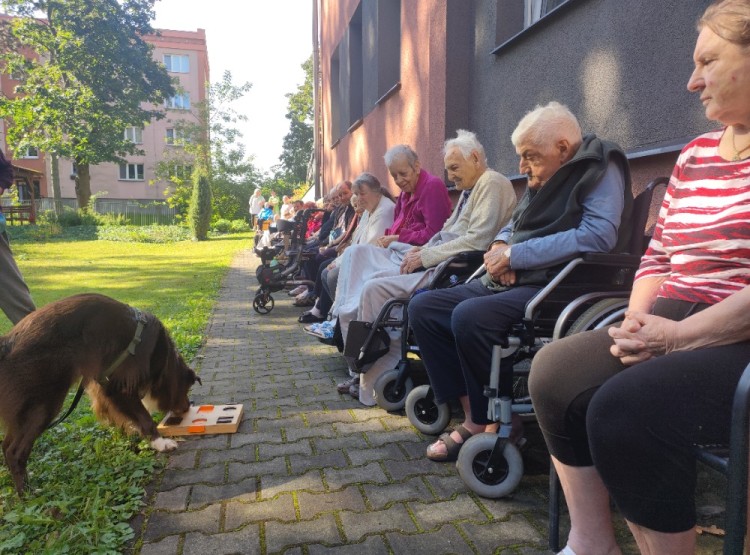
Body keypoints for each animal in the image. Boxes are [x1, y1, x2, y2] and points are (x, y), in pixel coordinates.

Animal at [0, 294, 201, 498]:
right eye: (186, 390)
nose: (188, 406)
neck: (163, 361)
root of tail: (6, 344)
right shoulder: (118, 389)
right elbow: (145, 418)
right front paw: (159, 442)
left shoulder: (102, 388)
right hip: (43, 404)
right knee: (14, 451)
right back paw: (27, 493)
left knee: (6, 445)